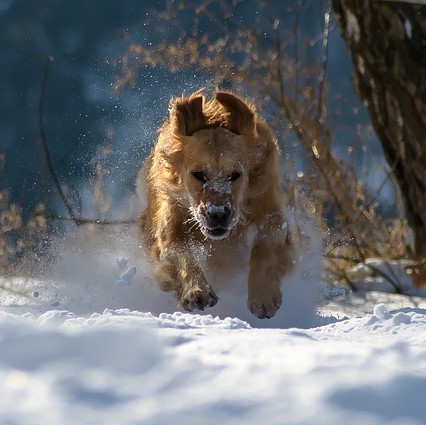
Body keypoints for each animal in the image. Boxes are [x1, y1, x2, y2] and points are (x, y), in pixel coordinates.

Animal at [138, 90, 294, 318]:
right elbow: (181, 253)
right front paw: (197, 291)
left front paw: (263, 296)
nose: (218, 214)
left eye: (235, 175)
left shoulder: (272, 211)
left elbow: (265, 245)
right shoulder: (169, 231)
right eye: (198, 174)